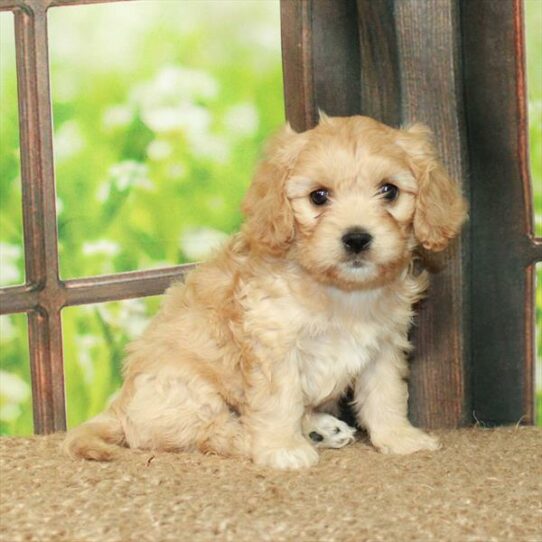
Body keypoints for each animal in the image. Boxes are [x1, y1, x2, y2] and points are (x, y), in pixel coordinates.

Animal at [66, 116, 470, 472]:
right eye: (318, 197)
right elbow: (280, 403)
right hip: (186, 389)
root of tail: (119, 405)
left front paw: (400, 439)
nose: (357, 238)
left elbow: (386, 395)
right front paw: (281, 449)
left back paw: (321, 429)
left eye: (389, 191)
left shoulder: (385, 346)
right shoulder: (275, 346)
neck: (341, 291)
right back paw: (266, 439)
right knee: (211, 433)